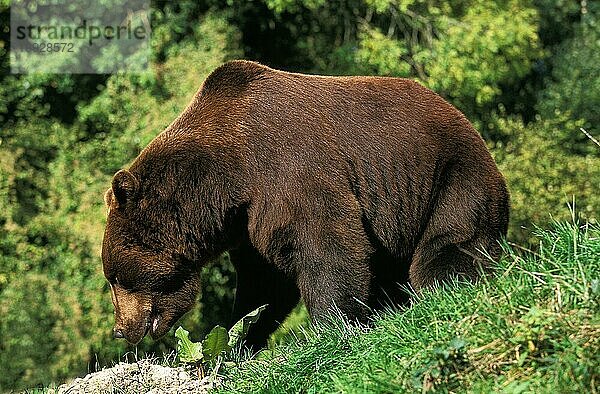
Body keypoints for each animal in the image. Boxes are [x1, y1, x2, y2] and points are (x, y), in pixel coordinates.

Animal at [101, 60, 508, 346]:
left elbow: (328, 248)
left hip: (448, 178)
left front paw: (333, 327)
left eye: (116, 276)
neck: (225, 177)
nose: (120, 329)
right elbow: (265, 284)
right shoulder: (248, 222)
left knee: (448, 248)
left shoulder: (289, 172)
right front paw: (239, 339)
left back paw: (438, 293)